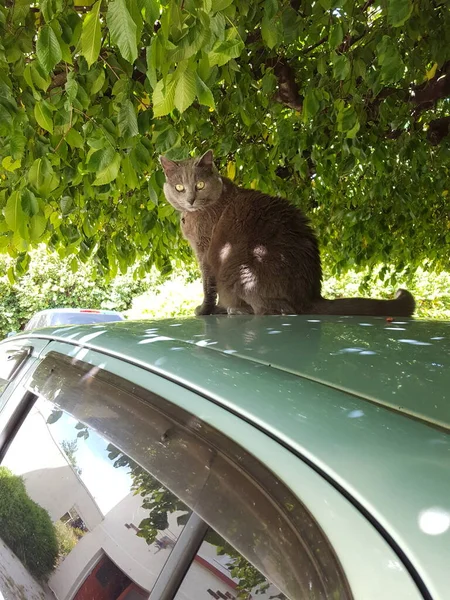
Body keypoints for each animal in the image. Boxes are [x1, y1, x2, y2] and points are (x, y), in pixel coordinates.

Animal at [160, 151, 416, 318]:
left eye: (200, 185)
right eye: (179, 187)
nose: (190, 199)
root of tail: (310, 295)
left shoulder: (204, 252)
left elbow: (207, 286)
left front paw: (204, 311)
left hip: (239, 268)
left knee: (275, 310)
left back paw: (236, 310)